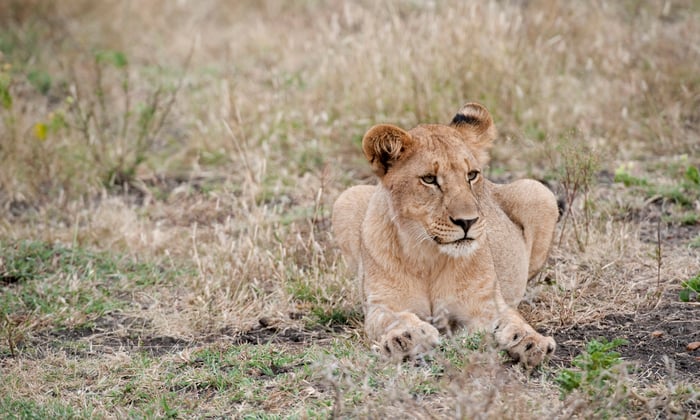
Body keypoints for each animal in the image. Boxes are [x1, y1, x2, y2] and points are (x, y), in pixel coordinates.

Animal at [332, 103, 559, 367]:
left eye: (471, 175)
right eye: (429, 179)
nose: (467, 221)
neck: (428, 255)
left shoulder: (485, 305)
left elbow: (511, 320)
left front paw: (531, 341)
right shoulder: (381, 305)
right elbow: (395, 318)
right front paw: (406, 336)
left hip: (539, 192)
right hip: (347, 198)